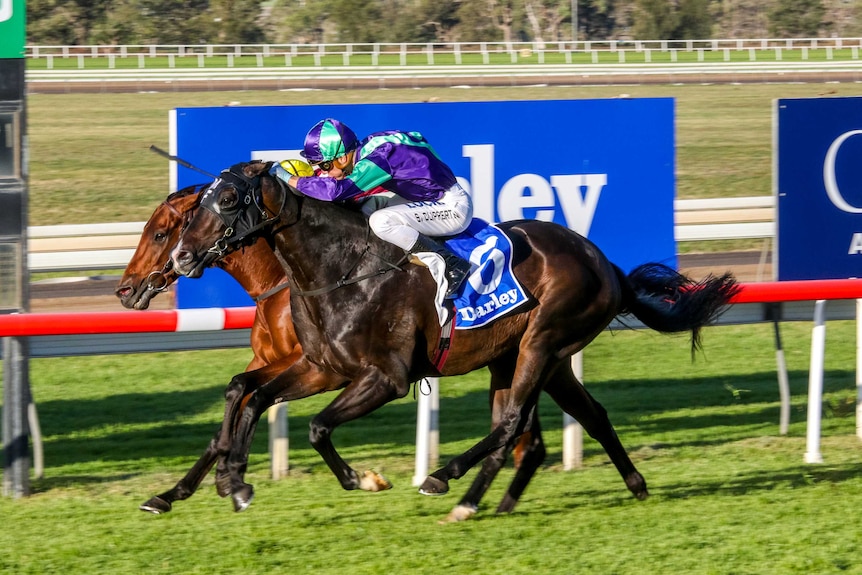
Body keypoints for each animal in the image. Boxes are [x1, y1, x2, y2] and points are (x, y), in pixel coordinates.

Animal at [170, 162, 744, 520]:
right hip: (532, 359)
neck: (342, 269)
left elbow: (316, 427)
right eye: (195, 206)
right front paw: (234, 481)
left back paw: (447, 481)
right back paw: (622, 486)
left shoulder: (385, 378)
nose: (180, 257)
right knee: (573, 422)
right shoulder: (322, 367)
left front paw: (364, 479)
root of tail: (606, 265)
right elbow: (254, 395)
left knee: (511, 424)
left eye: (226, 199)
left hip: (542, 343)